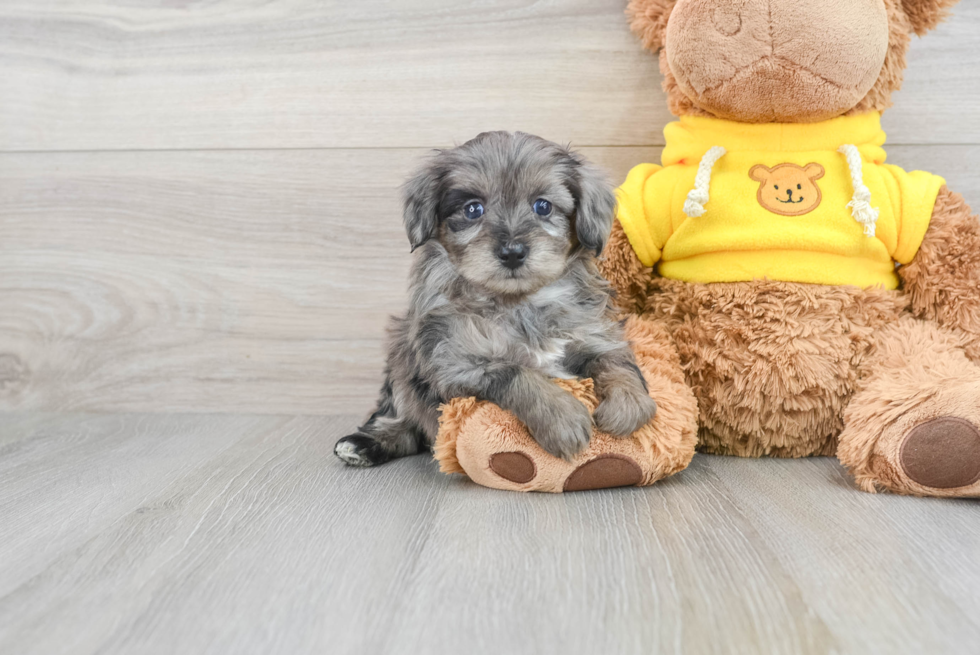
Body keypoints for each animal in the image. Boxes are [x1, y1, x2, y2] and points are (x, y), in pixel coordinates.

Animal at [336, 131, 660, 466]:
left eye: (543, 206)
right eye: (473, 209)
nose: (512, 252)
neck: (518, 303)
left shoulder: (595, 336)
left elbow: (619, 364)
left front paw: (628, 405)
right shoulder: (456, 363)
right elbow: (516, 373)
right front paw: (562, 417)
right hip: (401, 352)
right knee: (403, 417)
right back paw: (365, 444)